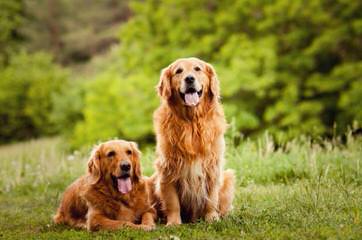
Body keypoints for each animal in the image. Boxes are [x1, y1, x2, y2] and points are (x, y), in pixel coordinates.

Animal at [152, 56, 235, 225]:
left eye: (197, 69)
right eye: (179, 71)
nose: (189, 79)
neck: (191, 123)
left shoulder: (212, 166)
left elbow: (211, 198)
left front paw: (212, 218)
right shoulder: (167, 168)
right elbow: (172, 201)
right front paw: (174, 223)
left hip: (229, 178)